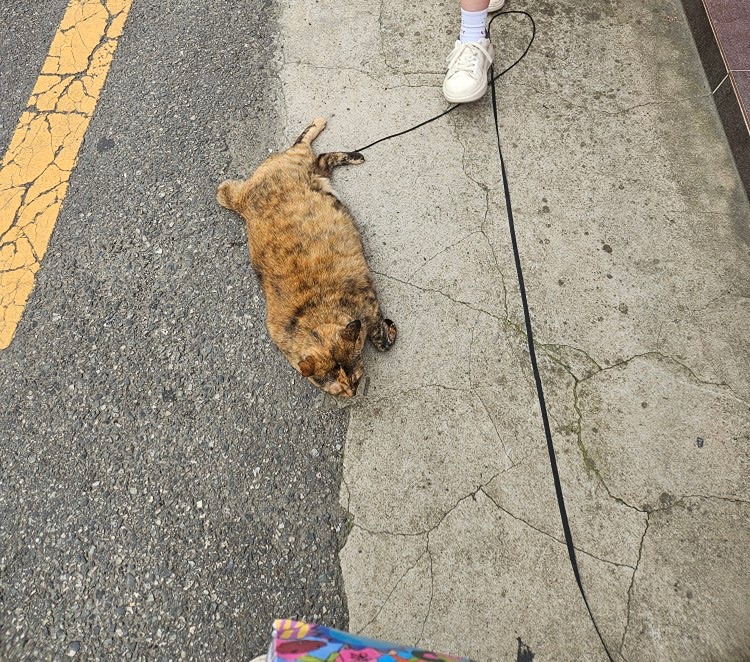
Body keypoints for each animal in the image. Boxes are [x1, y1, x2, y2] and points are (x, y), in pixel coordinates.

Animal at [216, 118, 396, 400]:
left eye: (356, 379)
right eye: (338, 391)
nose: (353, 394)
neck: (317, 314)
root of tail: (242, 198)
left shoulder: (370, 306)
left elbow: (381, 341)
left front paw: (388, 332)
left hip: (301, 161)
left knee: (307, 146)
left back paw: (348, 148)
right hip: (310, 166)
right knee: (320, 155)